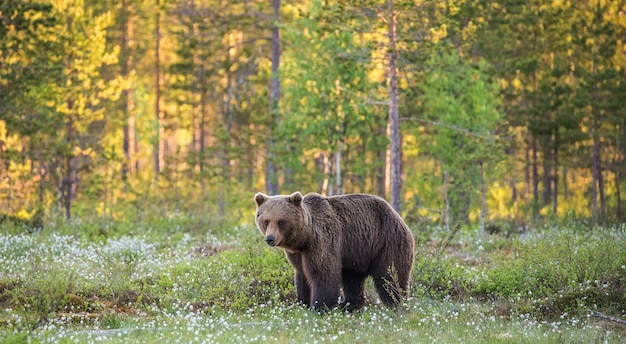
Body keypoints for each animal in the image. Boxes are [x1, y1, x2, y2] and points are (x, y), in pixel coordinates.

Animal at [251, 191, 412, 312]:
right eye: (266, 221)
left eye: (280, 221)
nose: (270, 239)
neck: (304, 238)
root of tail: (398, 216)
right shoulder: (298, 253)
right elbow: (302, 275)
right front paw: (304, 303)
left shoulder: (323, 241)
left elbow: (323, 272)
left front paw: (319, 307)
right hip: (356, 254)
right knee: (353, 279)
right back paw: (349, 306)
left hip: (387, 242)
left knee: (390, 276)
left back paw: (396, 303)